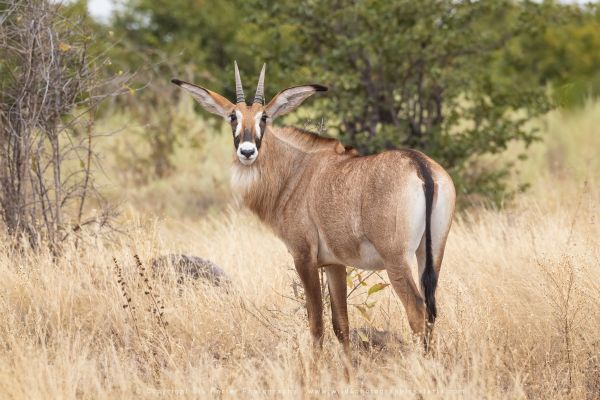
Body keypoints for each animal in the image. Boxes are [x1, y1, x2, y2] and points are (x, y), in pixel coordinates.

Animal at [172, 61, 454, 350]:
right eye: (232, 116)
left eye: (264, 117)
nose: (248, 151)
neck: (297, 171)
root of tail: (420, 165)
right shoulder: (334, 264)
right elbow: (341, 325)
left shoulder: (304, 256)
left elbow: (316, 323)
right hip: (431, 254)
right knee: (431, 309)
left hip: (396, 259)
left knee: (417, 309)